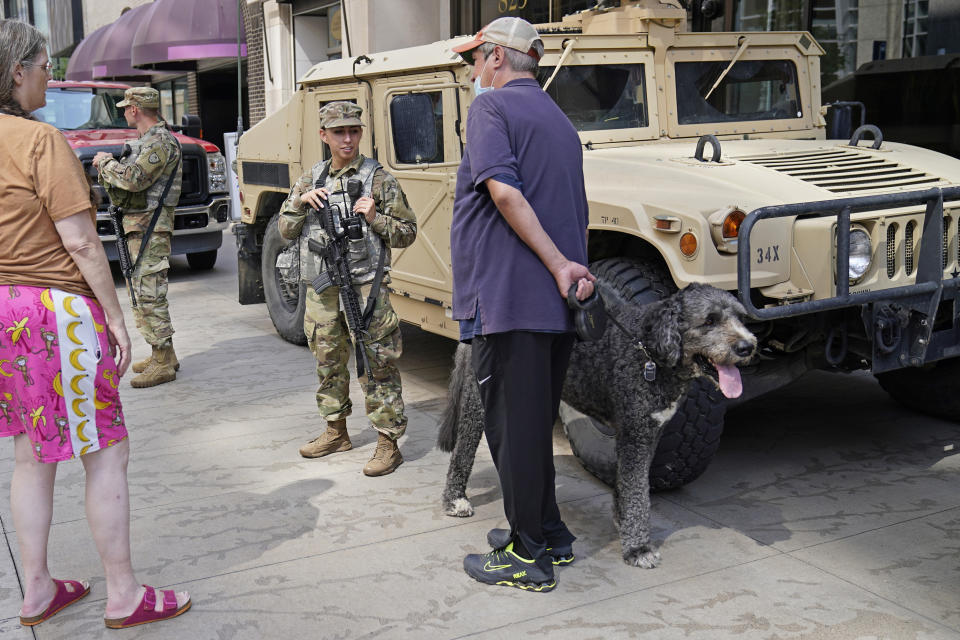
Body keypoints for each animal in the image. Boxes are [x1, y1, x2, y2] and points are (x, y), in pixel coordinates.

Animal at [436, 280, 756, 564]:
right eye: (709, 320)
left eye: (741, 318)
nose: (747, 346)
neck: (648, 349)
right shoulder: (635, 434)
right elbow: (638, 492)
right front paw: (638, 548)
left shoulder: (649, 432)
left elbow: (630, 485)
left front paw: (623, 521)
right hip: (482, 394)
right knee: (464, 448)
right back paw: (455, 499)